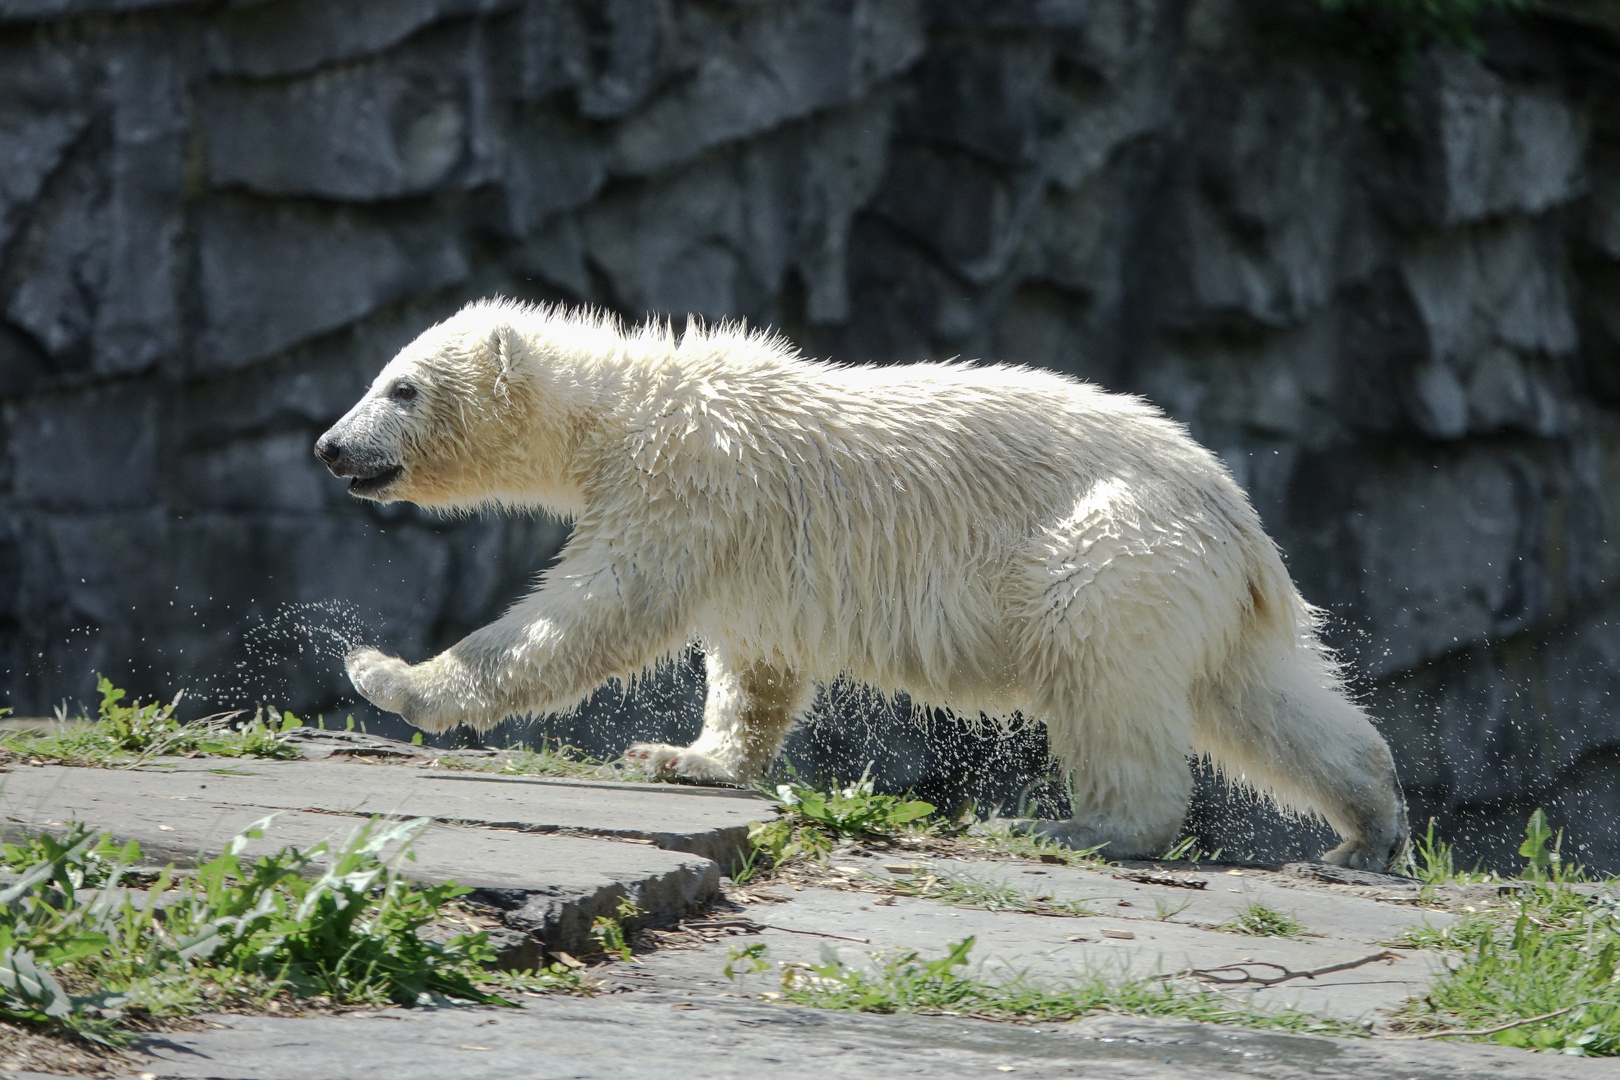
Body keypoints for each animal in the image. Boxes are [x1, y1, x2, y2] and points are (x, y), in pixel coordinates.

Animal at [312, 297, 1406, 867]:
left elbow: (592, 612)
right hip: (1196, 587)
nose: (329, 447)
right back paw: (1367, 826)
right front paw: (686, 757)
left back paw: (1073, 823)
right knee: (1262, 700)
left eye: (400, 386)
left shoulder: (687, 486)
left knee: (1105, 679)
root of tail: (1239, 519)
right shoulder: (743, 543)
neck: (631, 407)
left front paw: (387, 675)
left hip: (1110, 547)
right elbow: (755, 664)